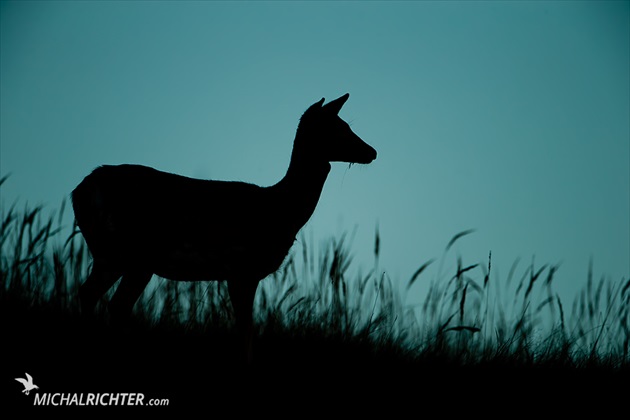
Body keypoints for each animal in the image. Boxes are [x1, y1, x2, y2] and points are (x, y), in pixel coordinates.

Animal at [74, 93, 380, 362]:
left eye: (347, 125)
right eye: (339, 128)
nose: (372, 151)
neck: (280, 209)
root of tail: (80, 191)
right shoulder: (242, 268)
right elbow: (245, 331)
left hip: (112, 255)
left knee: (92, 295)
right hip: (134, 253)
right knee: (112, 302)